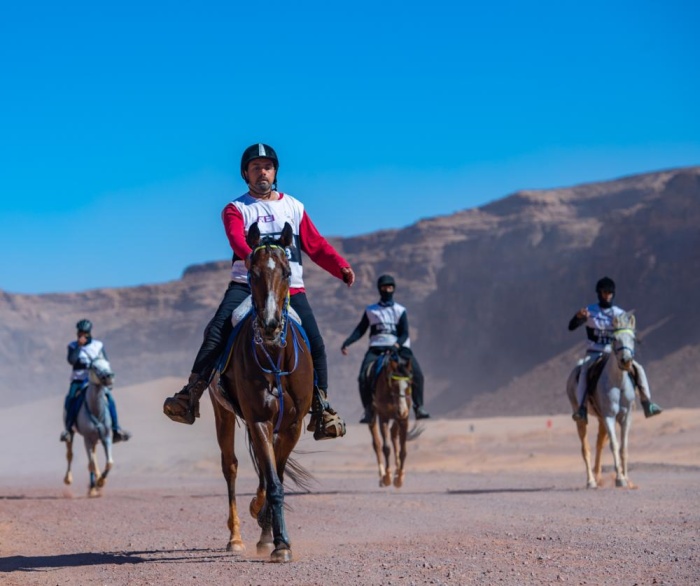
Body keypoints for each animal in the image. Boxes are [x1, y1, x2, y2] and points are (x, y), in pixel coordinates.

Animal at [65, 354, 117, 496]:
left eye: (108, 364)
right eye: (94, 367)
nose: (109, 376)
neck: (96, 411)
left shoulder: (106, 437)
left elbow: (109, 462)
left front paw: (101, 482)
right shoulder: (87, 438)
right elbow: (91, 464)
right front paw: (97, 483)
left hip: (95, 439)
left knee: (93, 456)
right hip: (72, 433)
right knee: (70, 455)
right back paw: (69, 479)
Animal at [206, 220, 314, 560]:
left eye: (288, 272)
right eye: (252, 273)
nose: (269, 324)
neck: (275, 357)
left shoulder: (292, 425)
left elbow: (274, 476)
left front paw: (270, 533)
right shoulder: (259, 420)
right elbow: (273, 481)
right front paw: (280, 544)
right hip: (222, 413)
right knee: (230, 467)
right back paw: (236, 538)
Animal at [364, 350, 412, 486]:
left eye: (409, 385)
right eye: (394, 385)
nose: (402, 411)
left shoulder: (404, 419)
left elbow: (403, 450)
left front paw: (399, 478)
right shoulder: (383, 417)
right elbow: (386, 447)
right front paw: (387, 477)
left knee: (394, 434)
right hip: (373, 416)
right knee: (377, 443)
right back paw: (382, 475)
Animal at [568, 312, 640, 486]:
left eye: (633, 339)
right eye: (615, 339)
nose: (626, 361)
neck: (618, 383)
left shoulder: (626, 417)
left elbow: (623, 447)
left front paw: (626, 478)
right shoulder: (609, 416)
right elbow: (614, 445)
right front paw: (620, 479)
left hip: (601, 419)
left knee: (599, 444)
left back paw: (598, 476)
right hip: (582, 418)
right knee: (586, 448)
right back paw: (591, 481)